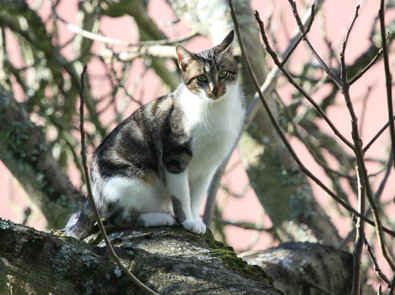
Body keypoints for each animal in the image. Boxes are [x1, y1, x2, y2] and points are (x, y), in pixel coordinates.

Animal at [65, 30, 244, 239]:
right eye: (201, 79)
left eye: (223, 74)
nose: (214, 90)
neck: (215, 110)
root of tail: (93, 193)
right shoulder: (174, 158)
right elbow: (182, 197)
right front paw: (188, 221)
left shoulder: (207, 168)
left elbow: (197, 197)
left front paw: (196, 221)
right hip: (133, 181)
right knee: (118, 219)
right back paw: (161, 218)